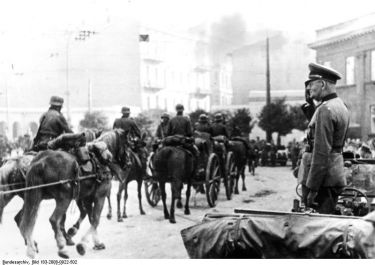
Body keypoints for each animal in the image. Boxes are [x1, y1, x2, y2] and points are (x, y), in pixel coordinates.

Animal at [18, 130, 123, 258]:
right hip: (65, 199)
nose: (129, 162)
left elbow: (91, 218)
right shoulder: (100, 196)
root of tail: (41, 162)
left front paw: (96, 243)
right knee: (53, 220)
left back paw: (31, 248)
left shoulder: (87, 198)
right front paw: (82, 244)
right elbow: (96, 220)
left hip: (35, 196)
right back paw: (62, 247)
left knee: (26, 221)